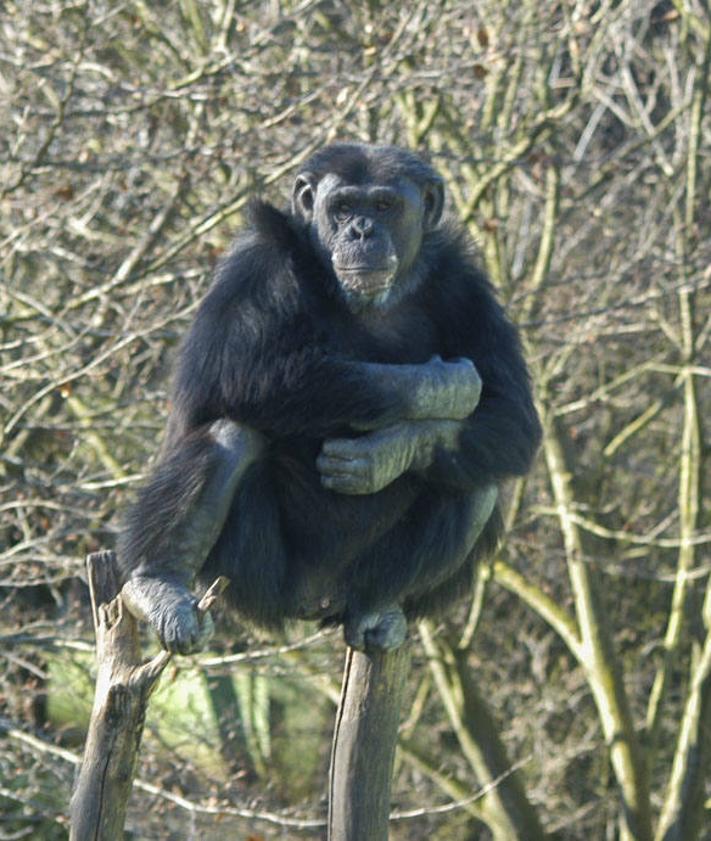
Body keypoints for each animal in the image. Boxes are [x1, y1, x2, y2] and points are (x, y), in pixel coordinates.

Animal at [117, 144, 540, 652]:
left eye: (384, 205)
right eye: (342, 207)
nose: (361, 230)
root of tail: (311, 607)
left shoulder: (468, 287)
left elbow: (512, 418)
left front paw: (389, 452)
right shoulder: (256, 260)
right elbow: (231, 368)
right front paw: (444, 385)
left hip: (351, 588)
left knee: (473, 480)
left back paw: (378, 609)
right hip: (253, 585)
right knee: (231, 436)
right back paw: (160, 583)